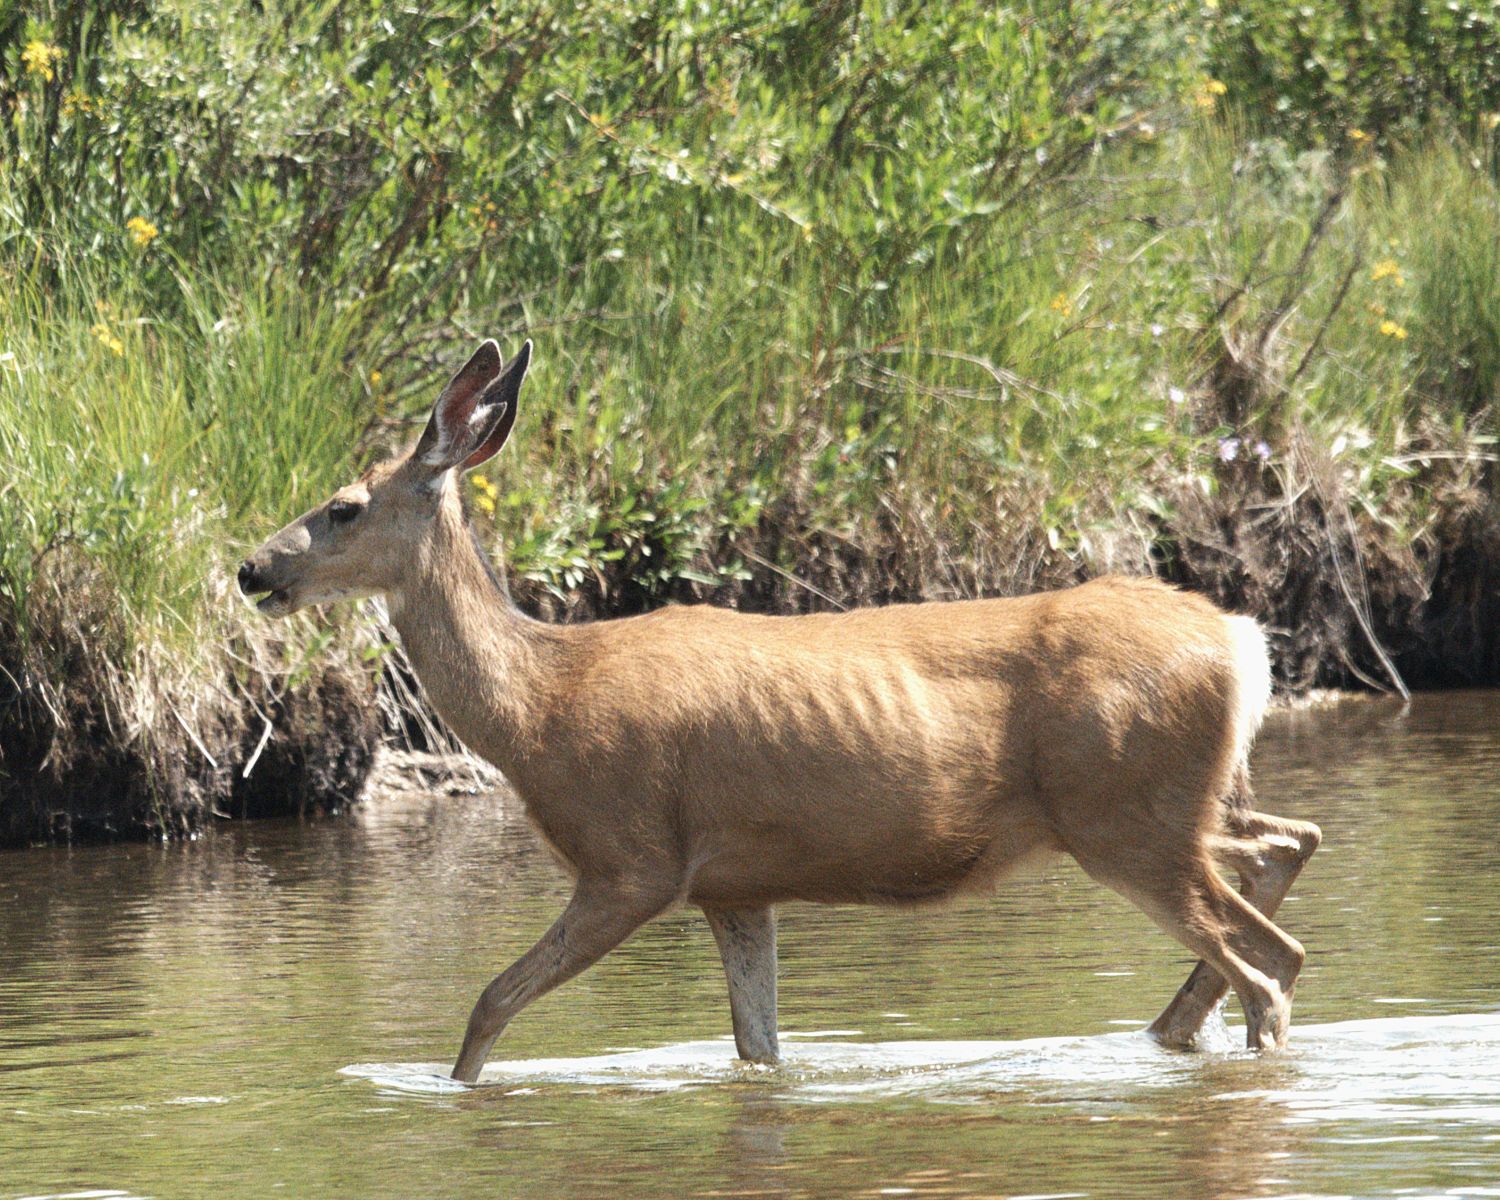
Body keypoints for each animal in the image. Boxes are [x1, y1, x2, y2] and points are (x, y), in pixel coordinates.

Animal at [238, 339, 1321, 1084]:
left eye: (342, 507)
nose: (251, 569)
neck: (538, 708)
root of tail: (1242, 640)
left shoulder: (632, 857)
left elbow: (488, 1004)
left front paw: (448, 1097)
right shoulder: (735, 885)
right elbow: (757, 1050)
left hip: (1125, 815)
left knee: (1270, 962)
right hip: (1172, 803)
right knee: (1286, 852)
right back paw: (1169, 1027)